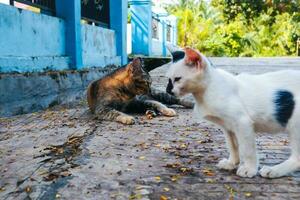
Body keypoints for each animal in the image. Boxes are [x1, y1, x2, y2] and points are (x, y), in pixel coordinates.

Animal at [166, 47, 300, 178]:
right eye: (169, 79)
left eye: (177, 79)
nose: (168, 91)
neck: (208, 89)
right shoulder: (228, 127)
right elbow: (233, 146)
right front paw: (232, 163)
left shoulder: (242, 122)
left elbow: (247, 150)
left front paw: (249, 169)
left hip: (295, 124)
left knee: (297, 158)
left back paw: (274, 170)